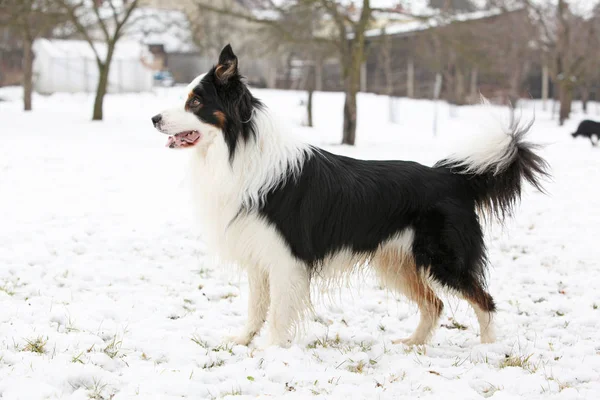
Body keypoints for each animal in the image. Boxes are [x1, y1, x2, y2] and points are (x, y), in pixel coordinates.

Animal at [151, 46, 548, 346]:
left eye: (195, 102)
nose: (154, 118)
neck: (237, 149)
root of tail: (450, 177)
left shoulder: (286, 259)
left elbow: (277, 313)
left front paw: (271, 352)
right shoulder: (259, 256)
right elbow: (256, 308)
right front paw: (241, 342)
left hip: (444, 259)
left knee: (484, 300)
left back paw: (488, 349)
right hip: (398, 263)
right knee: (434, 304)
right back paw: (413, 345)